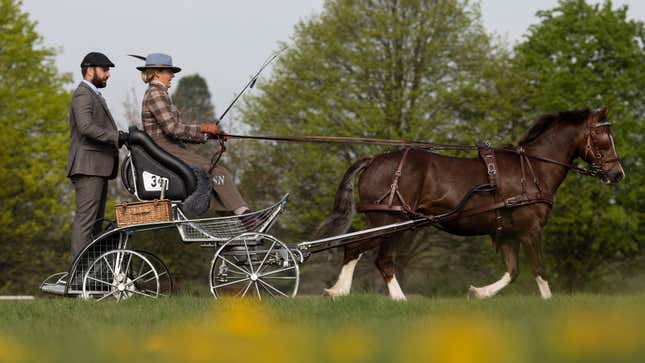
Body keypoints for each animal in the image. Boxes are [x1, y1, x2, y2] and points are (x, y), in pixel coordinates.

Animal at [316, 108, 624, 302]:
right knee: (366, 253)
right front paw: (548, 302)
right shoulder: (530, 230)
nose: (617, 174)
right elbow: (539, 269)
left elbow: (513, 272)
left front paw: (479, 292)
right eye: (603, 141)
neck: (532, 168)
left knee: (367, 254)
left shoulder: (506, 234)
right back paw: (364, 295)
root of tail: (375, 160)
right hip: (389, 222)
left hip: (392, 223)